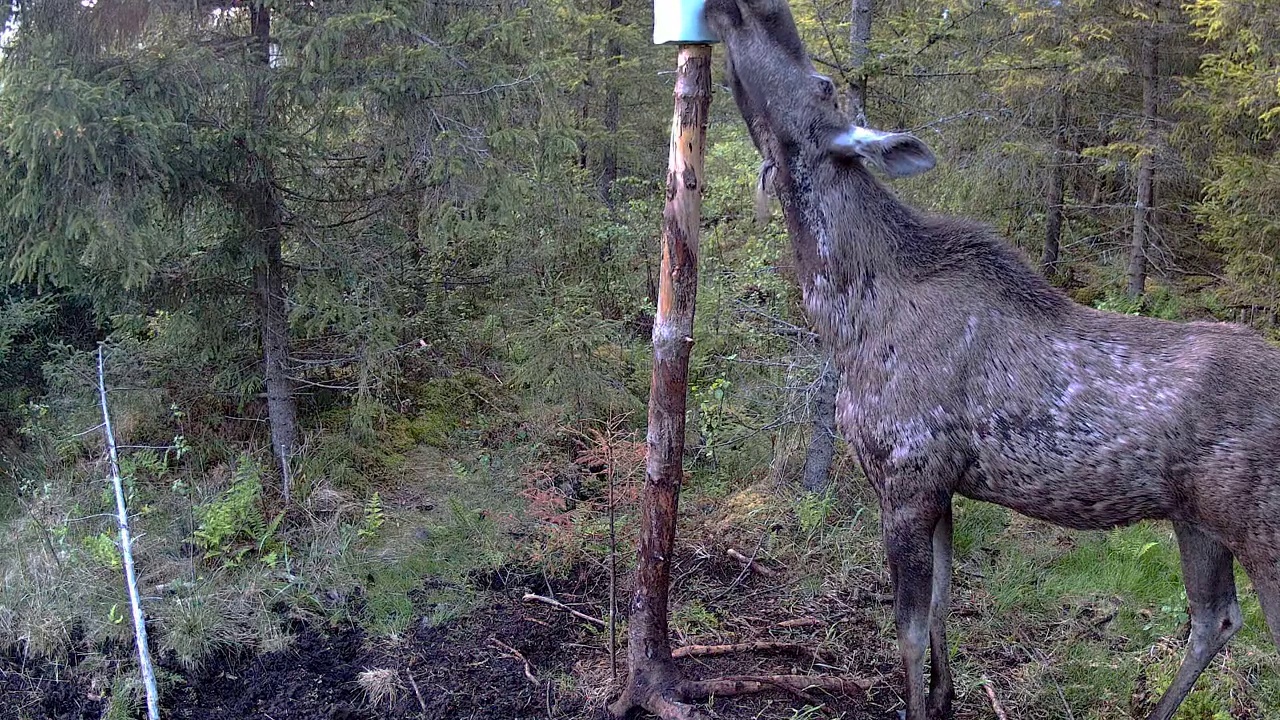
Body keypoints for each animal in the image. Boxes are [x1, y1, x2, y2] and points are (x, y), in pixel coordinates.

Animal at [701, 0, 1280, 712]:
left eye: (823, 84)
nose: (752, 7)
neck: (847, 317)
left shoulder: (907, 476)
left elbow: (909, 631)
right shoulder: (942, 488)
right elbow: (944, 609)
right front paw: (946, 697)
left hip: (1258, 522)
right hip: (1196, 518)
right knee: (1214, 618)